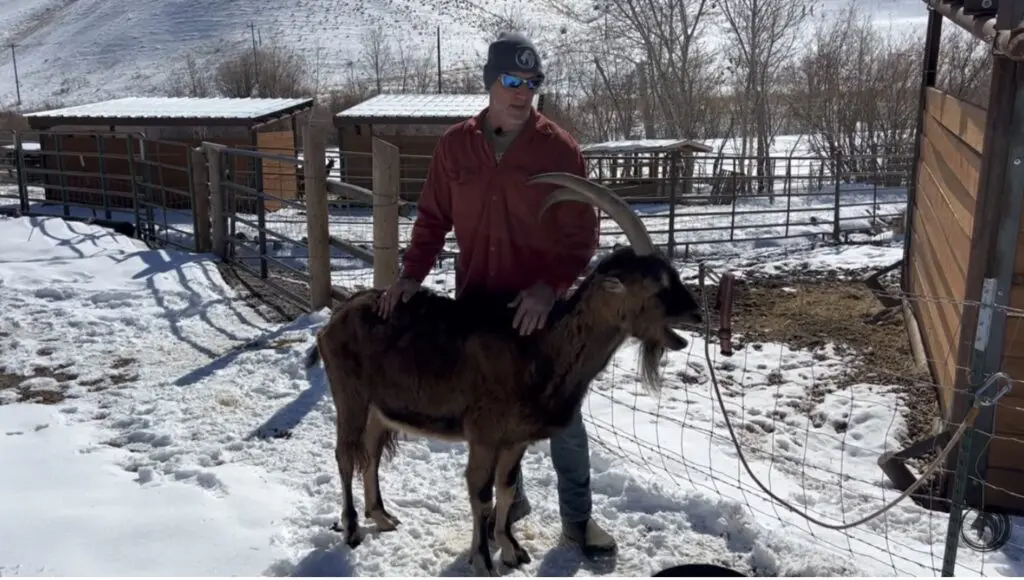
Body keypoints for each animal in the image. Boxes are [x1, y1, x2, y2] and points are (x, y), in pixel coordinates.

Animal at [305, 172, 703, 576]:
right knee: (345, 455)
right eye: (656, 286)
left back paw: (382, 516)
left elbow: (507, 487)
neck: (540, 346)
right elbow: (480, 493)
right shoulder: (484, 435)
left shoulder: (515, 440)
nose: (697, 314)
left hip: (378, 408)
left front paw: (511, 549)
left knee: (369, 452)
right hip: (349, 395)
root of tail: (332, 322)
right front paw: (482, 558)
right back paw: (352, 529)